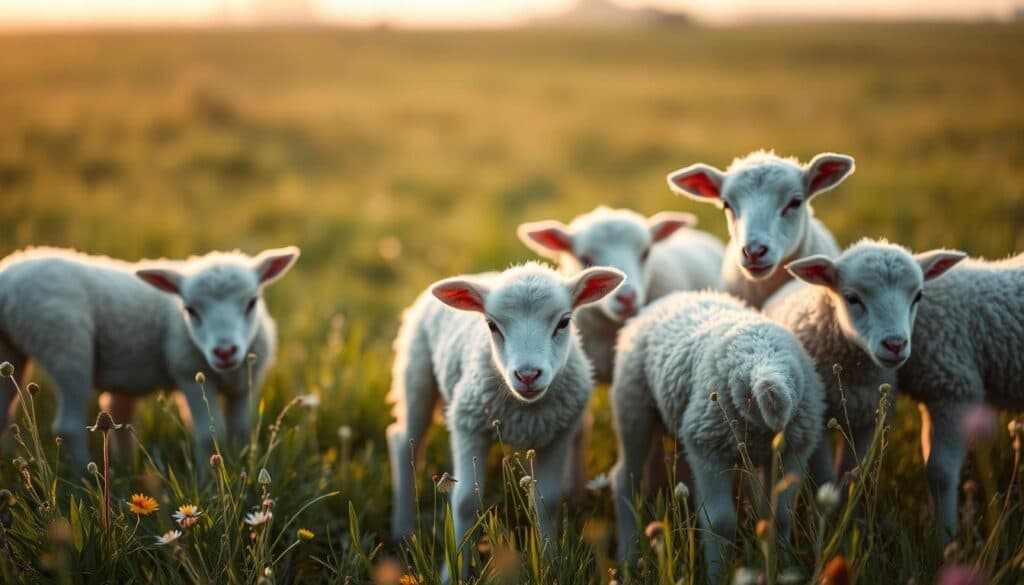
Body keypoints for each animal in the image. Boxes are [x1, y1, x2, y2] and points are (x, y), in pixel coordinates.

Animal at [0, 246, 300, 470]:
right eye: (190, 310)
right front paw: (210, 484)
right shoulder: (189, 373)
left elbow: (241, 431)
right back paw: (85, 478)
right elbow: (207, 436)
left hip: (10, 350)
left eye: (251, 302)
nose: (224, 351)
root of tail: (9, 275)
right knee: (69, 426)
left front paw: (240, 471)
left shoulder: (243, 385)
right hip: (64, 344)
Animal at [387, 262, 624, 581]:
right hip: (416, 371)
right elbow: (465, 501)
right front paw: (454, 573)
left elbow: (547, 500)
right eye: (491, 325)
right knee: (404, 440)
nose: (528, 375)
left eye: (564, 322)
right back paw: (402, 528)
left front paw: (551, 564)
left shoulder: (558, 434)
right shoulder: (469, 426)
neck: (525, 410)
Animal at [610, 291, 825, 582]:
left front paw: (780, 568)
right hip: (633, 406)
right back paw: (628, 559)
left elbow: (779, 516)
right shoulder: (708, 451)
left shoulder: (793, 451)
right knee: (625, 478)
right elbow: (720, 522)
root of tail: (669, 298)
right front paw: (717, 575)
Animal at [763, 239, 966, 486]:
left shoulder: (868, 422)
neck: (852, 376)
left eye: (918, 296)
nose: (895, 344)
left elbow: (850, 473)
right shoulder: (817, 422)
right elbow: (825, 477)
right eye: (852, 298)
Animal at [896, 252, 1024, 543]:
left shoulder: (956, 388)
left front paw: (944, 542)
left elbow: (940, 472)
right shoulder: (933, 395)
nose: (894, 343)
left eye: (916, 295)